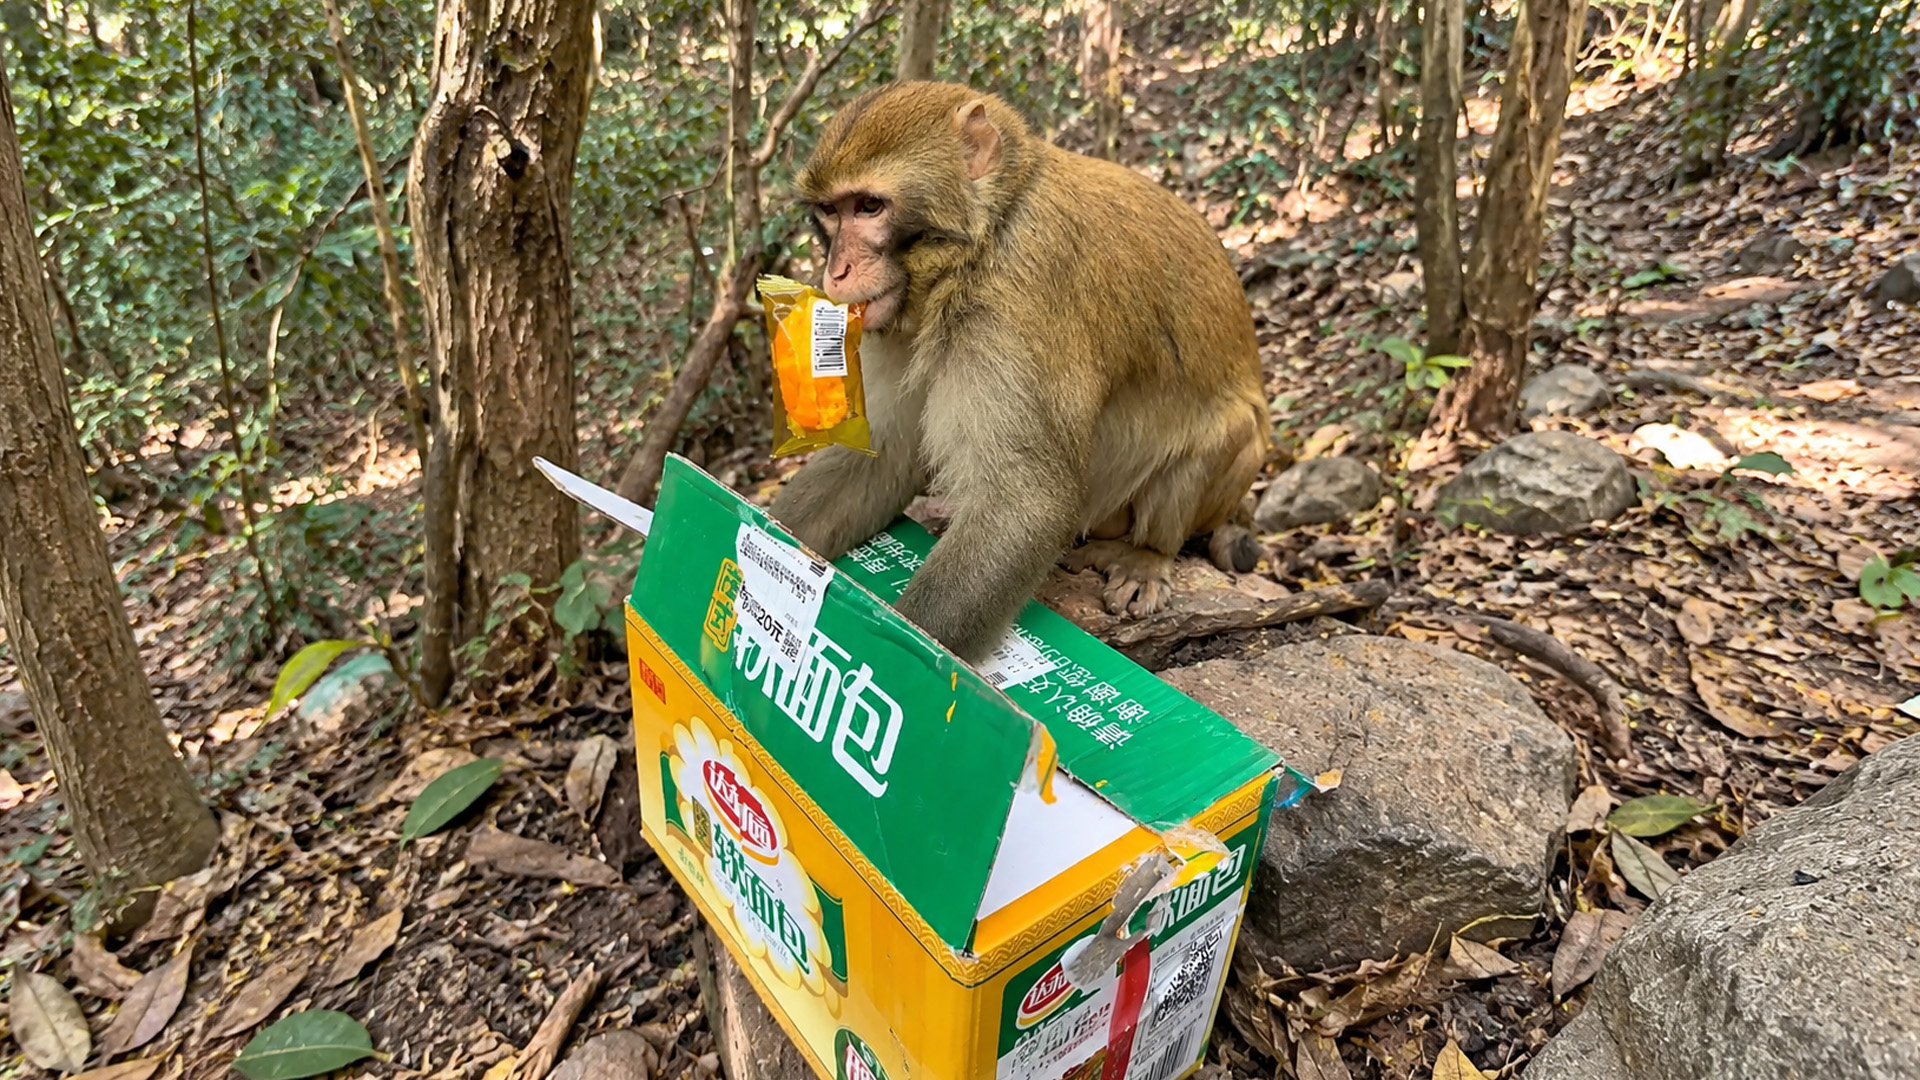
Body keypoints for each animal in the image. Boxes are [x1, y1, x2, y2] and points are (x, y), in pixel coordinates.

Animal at [768, 82, 1268, 664]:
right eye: (830, 211)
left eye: (869, 205)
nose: (836, 271)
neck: (980, 240)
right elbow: (885, 453)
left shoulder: (1015, 301)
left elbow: (1025, 502)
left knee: (1219, 437)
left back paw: (1147, 554)